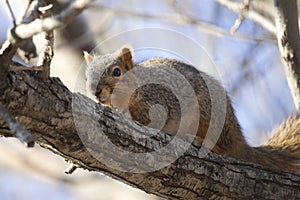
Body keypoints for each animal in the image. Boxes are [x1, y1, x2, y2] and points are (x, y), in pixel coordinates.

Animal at [84, 45, 300, 173]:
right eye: (87, 75)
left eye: (117, 72)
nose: (95, 92)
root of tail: (241, 142)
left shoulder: (159, 100)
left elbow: (148, 119)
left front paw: (125, 115)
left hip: (207, 114)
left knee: (224, 147)